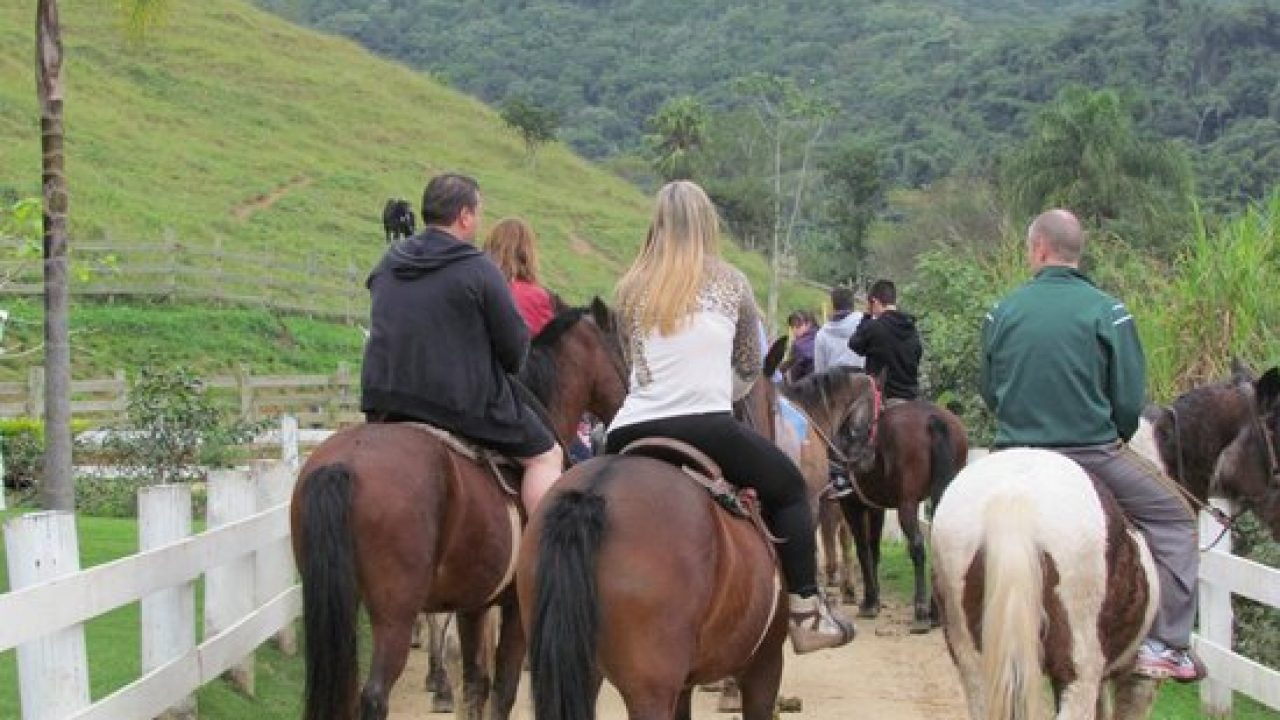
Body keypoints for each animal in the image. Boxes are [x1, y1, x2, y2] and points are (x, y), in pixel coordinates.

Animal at [291, 298, 629, 717]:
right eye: (626, 349)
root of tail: (344, 464)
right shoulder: (514, 607)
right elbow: (503, 690)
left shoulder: (475, 604)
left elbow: (476, 684)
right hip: (394, 611)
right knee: (374, 695)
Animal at [514, 366, 875, 717]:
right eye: (869, 420)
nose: (850, 470)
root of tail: (595, 491)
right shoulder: (764, 665)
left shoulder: (685, 683)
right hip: (652, 689)